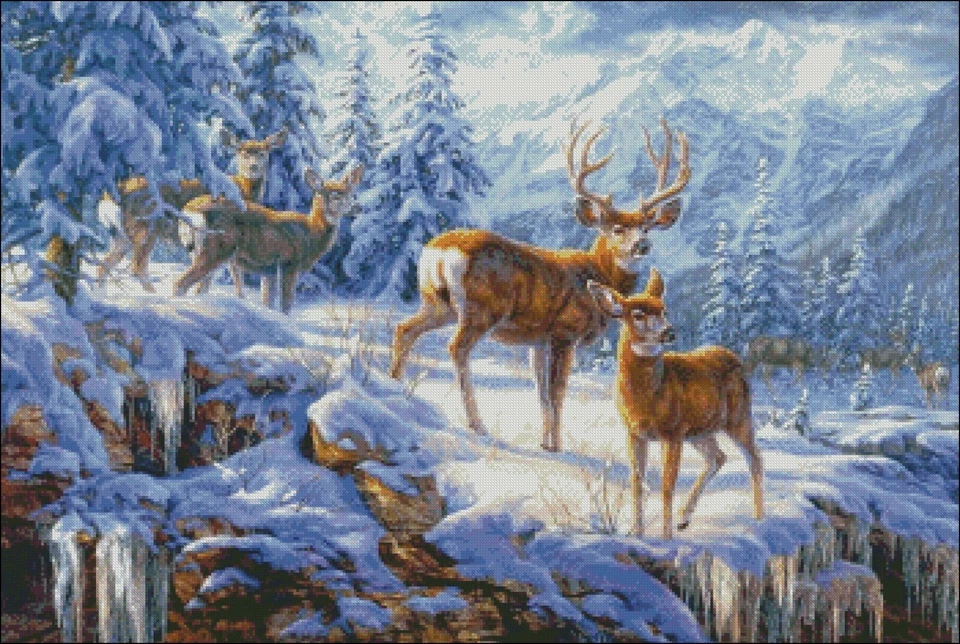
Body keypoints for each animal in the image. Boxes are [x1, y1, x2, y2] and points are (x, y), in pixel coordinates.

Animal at [96, 128, 287, 293]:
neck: (244, 190)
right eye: (242, 152)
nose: (253, 167)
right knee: (137, 267)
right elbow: (235, 279)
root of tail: (112, 194)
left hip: (122, 234)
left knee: (104, 265)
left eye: (263, 152)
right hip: (146, 226)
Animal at [173, 166, 363, 313]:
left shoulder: (269, 272)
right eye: (336, 195)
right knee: (180, 283)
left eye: (351, 193)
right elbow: (286, 305)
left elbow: (268, 303)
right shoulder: (289, 264)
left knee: (199, 288)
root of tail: (190, 211)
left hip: (201, 252)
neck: (311, 233)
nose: (358, 207)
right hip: (216, 249)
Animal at [389, 118, 690, 451]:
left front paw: (545, 443)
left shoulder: (538, 340)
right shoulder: (564, 332)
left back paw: (395, 386)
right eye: (617, 228)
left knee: (404, 329)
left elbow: (542, 394)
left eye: (647, 227)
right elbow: (557, 393)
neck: (598, 274)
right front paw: (557, 446)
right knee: (456, 348)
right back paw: (476, 424)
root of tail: (439, 252)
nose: (642, 245)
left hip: (436, 303)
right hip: (480, 310)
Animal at [588, 270, 764, 540]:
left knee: (755, 458)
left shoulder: (671, 432)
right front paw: (638, 534)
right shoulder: (634, 433)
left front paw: (666, 538)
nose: (669, 332)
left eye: (664, 310)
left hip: (737, 418)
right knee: (718, 457)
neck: (646, 398)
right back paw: (684, 518)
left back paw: (759, 518)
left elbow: (666, 486)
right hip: (700, 430)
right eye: (638, 314)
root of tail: (734, 357)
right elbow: (637, 483)